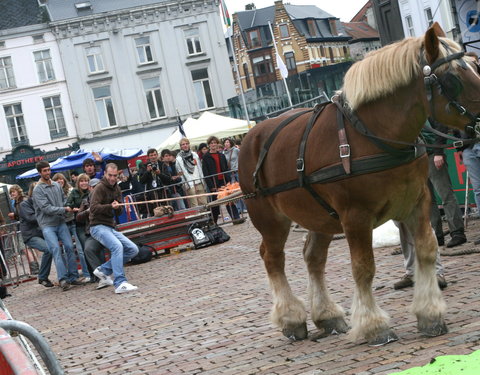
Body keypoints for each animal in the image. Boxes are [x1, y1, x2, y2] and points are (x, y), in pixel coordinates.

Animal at [239, 24, 480, 346]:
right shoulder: (355, 217)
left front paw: (430, 315)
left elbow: (427, 252)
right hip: (270, 219)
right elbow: (363, 267)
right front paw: (373, 325)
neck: (375, 135)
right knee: (273, 258)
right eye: (453, 78)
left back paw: (327, 315)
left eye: (476, 65)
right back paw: (291, 318)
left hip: (319, 216)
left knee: (313, 258)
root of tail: (252, 135)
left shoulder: (417, 203)